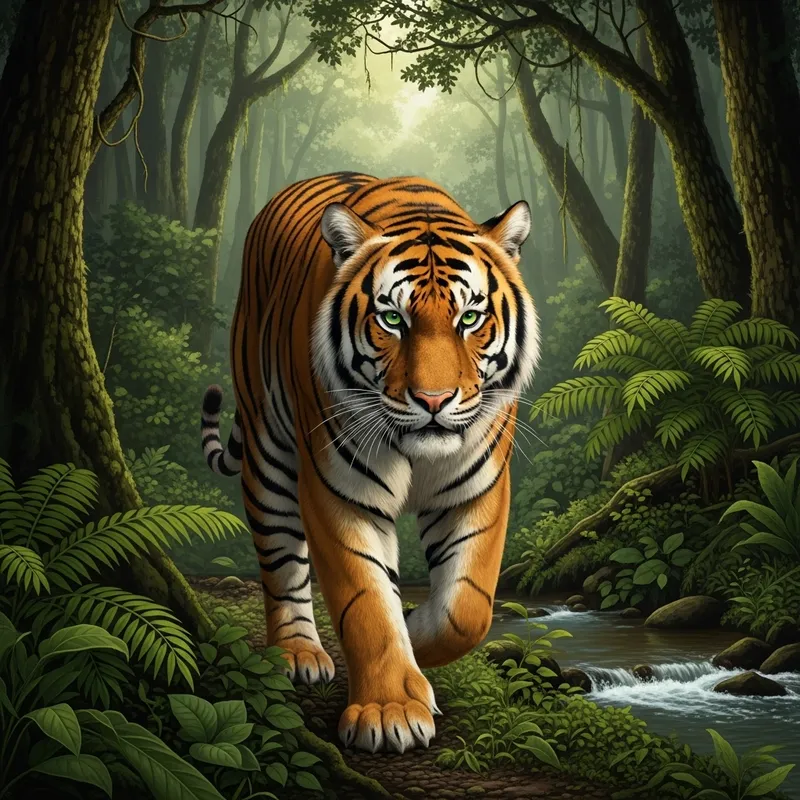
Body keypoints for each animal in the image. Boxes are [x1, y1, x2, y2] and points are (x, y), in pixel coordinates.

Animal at [200, 172, 540, 754]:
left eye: (470, 318)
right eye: (392, 319)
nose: (433, 400)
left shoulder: (478, 489)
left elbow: (467, 611)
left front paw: (417, 639)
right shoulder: (338, 491)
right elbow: (366, 603)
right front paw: (389, 712)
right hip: (267, 451)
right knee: (280, 558)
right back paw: (297, 653)